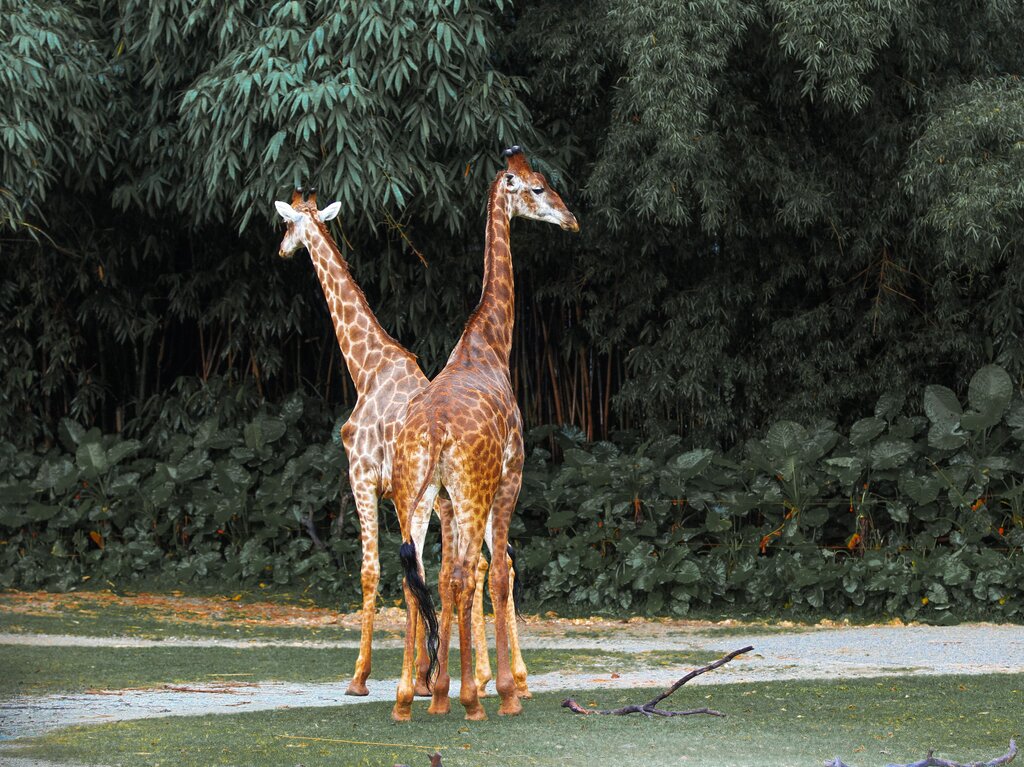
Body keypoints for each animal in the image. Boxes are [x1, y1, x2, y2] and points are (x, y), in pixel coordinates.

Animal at [390, 147, 579, 721]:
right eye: (538, 188)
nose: (571, 218)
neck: (489, 345)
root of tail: (431, 433)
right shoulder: (510, 477)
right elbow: (492, 573)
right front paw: (504, 691)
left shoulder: (449, 500)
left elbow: (454, 575)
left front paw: (442, 687)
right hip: (473, 490)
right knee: (461, 573)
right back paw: (473, 701)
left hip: (414, 493)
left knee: (415, 574)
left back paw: (409, 699)